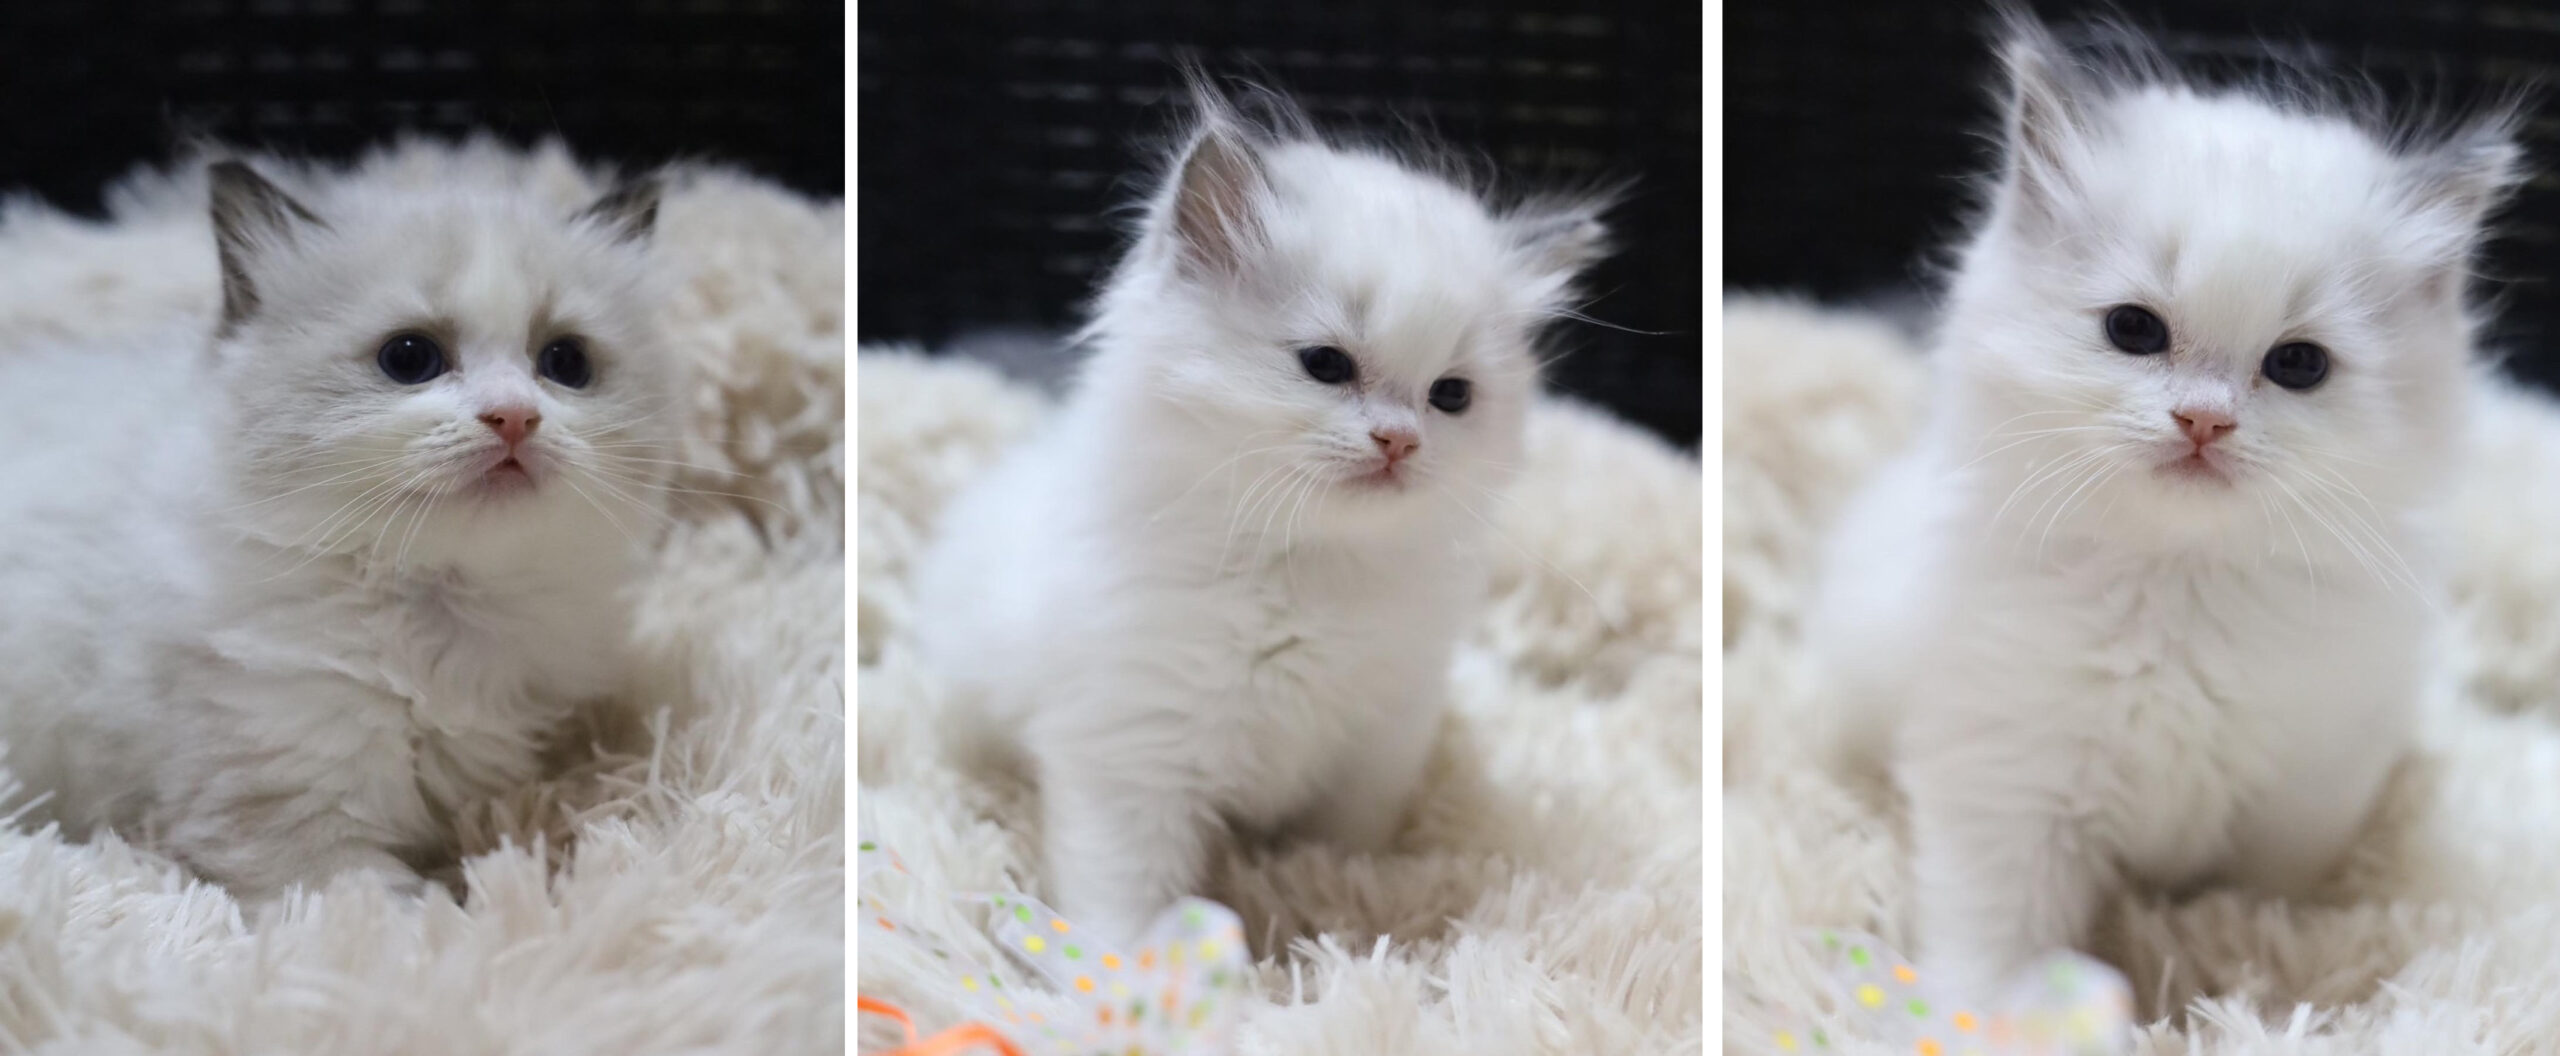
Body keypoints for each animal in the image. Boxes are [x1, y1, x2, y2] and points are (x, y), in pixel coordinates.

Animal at [0, 154, 681, 900]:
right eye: (409, 358)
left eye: (565, 363)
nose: (514, 418)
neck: (444, 606)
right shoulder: (295, 813)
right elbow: (396, 910)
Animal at [909, 82, 1611, 946]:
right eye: (1326, 365)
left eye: (1451, 396)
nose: (1399, 441)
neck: (1302, 568)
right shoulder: (1129, 759)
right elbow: (1123, 895)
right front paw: (1118, 971)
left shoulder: (1377, 747)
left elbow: (1345, 851)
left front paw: (1345, 902)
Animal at [1804, 16, 2519, 998]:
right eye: (2134, 330)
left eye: (2299, 365)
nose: (2204, 421)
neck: (2181, 585)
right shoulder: (2006, 789)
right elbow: (1993, 942)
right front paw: (1977, 1009)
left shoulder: (2301, 801)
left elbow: (2264, 912)